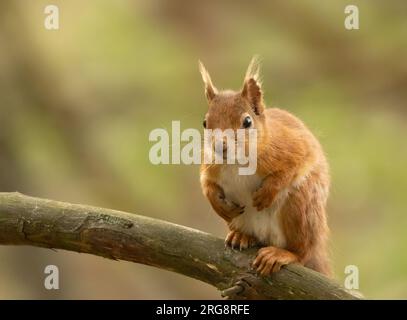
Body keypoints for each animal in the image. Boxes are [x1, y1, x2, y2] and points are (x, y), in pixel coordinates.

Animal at [200, 56, 332, 276]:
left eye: (247, 121)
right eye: (205, 122)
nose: (219, 147)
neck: (237, 162)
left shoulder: (293, 147)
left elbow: (298, 163)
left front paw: (268, 192)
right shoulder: (211, 165)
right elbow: (206, 183)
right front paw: (217, 204)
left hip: (300, 208)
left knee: (302, 252)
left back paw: (283, 254)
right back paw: (242, 236)